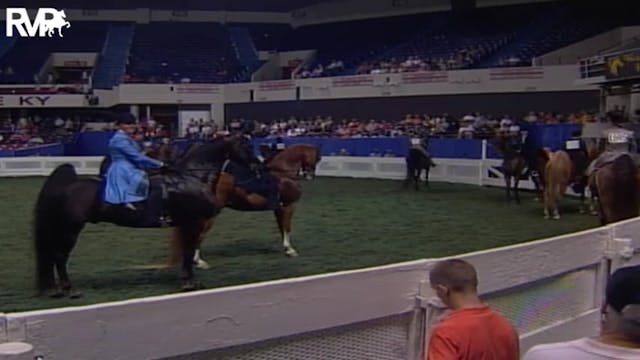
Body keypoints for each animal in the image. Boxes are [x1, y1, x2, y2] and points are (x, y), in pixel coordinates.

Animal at [32, 135, 256, 296]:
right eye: (245, 146)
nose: (257, 167)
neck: (190, 179)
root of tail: (67, 186)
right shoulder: (192, 223)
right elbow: (188, 251)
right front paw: (189, 283)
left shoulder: (188, 223)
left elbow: (187, 251)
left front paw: (189, 280)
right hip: (71, 229)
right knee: (60, 257)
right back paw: (69, 288)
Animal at [171, 143, 322, 268]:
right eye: (316, 158)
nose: (310, 176)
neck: (283, 175)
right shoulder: (288, 206)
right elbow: (287, 228)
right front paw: (290, 250)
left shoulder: (279, 209)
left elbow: (281, 228)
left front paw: (287, 249)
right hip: (210, 216)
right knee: (199, 235)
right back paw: (199, 262)